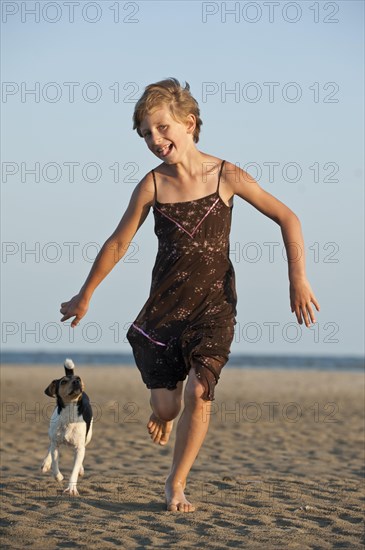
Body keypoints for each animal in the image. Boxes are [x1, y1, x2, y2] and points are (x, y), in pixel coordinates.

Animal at [41, 360, 93, 498]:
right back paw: (46, 463)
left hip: (88, 437)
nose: (77, 381)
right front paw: (58, 476)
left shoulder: (79, 447)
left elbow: (74, 470)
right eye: (63, 381)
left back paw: (80, 469)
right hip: (52, 434)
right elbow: (55, 464)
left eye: (79, 378)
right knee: (50, 446)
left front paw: (71, 489)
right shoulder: (56, 444)